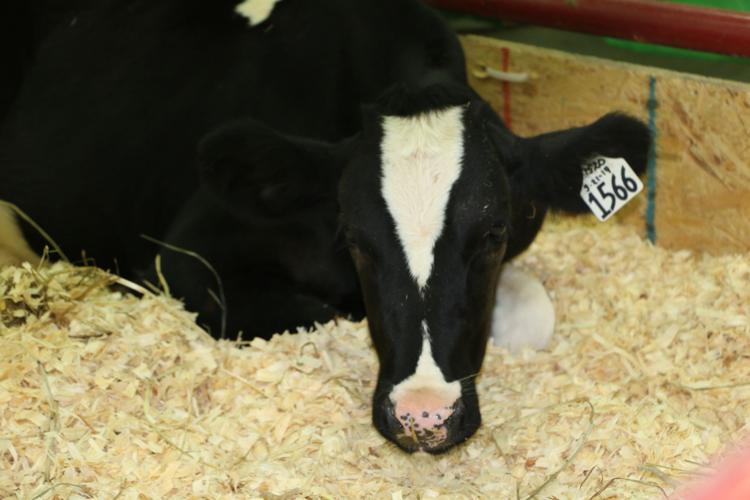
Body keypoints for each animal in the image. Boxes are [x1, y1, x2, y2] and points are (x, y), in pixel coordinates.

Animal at [0, 0, 650, 453]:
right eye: (356, 241)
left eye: (491, 236)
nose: (424, 416)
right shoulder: (184, 256)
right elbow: (321, 313)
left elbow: (534, 314)